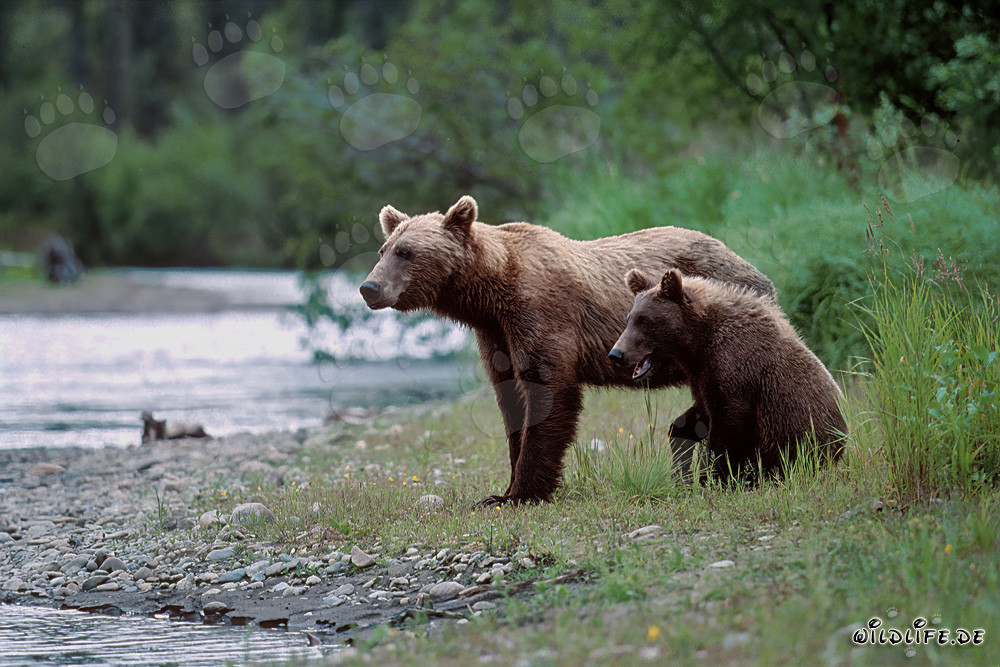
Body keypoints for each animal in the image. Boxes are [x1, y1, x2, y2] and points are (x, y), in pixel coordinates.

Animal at [360, 195, 776, 506]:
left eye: (407, 251)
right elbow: (510, 398)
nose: (369, 287)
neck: (489, 294)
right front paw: (501, 489)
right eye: (383, 249)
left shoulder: (540, 313)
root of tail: (756, 270)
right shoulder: (496, 336)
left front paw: (521, 492)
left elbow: (548, 392)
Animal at [609, 268, 846, 479]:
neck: (698, 343)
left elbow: (726, 428)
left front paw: (710, 477)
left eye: (644, 320)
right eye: (630, 317)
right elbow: (692, 419)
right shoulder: (701, 376)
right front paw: (681, 467)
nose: (616, 353)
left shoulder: (734, 366)